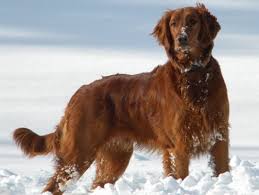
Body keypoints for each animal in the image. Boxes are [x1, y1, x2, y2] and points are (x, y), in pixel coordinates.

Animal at [13, 3, 230, 194]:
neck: (194, 75)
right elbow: (181, 175)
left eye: (193, 21)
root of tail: (77, 94)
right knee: (54, 186)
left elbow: (223, 171)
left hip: (115, 156)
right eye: (173, 24)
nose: (181, 39)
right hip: (78, 153)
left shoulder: (220, 136)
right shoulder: (178, 145)